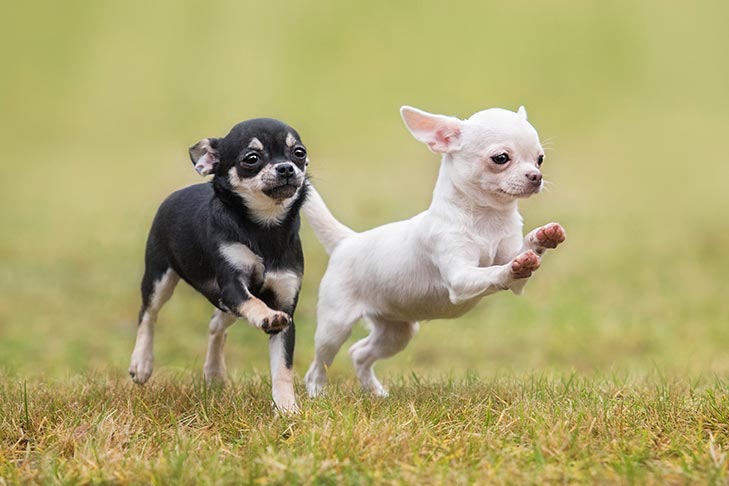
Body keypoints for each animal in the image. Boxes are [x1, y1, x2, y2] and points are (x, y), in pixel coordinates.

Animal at [129, 118, 308, 414]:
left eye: (299, 153)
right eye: (251, 158)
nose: (286, 168)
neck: (265, 228)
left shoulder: (284, 303)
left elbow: (283, 369)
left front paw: (286, 409)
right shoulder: (234, 287)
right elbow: (255, 304)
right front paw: (267, 317)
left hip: (224, 304)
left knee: (215, 325)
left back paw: (213, 372)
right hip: (159, 277)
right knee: (148, 314)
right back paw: (141, 363)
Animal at [304, 104, 564, 396]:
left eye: (540, 159)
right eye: (501, 158)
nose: (536, 176)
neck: (488, 221)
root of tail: (347, 240)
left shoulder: (515, 278)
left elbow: (521, 255)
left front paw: (543, 237)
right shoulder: (460, 279)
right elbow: (493, 271)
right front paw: (511, 267)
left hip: (397, 332)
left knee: (359, 353)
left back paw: (377, 393)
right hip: (334, 327)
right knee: (319, 366)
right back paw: (316, 395)